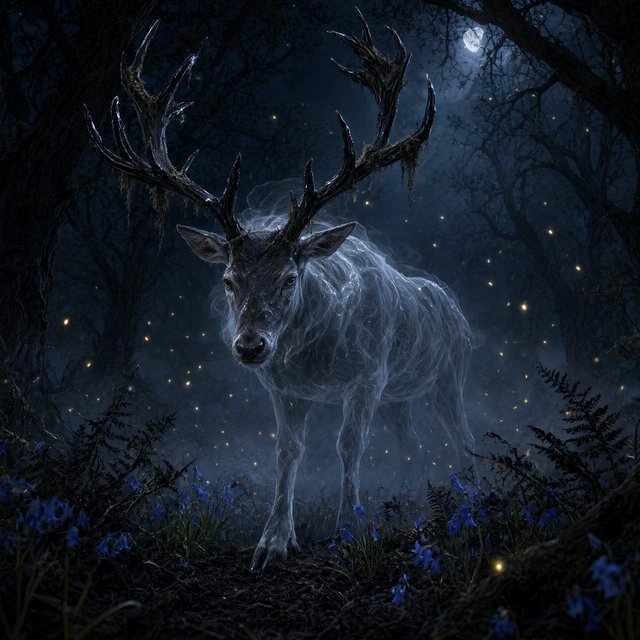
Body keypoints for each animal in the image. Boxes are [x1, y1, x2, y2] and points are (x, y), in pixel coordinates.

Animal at [85, 12, 475, 570]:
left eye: (290, 277)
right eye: (228, 279)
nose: (251, 346)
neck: (316, 359)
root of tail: (453, 306)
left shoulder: (368, 376)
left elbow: (349, 446)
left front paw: (349, 530)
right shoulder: (285, 389)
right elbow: (287, 451)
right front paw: (272, 542)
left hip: (449, 375)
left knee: (463, 438)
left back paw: (472, 500)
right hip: (399, 396)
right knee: (412, 440)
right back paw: (409, 502)